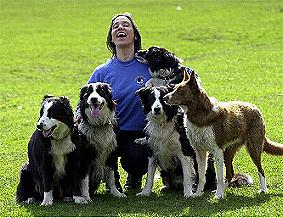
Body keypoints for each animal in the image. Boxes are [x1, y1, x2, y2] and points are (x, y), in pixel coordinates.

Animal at [164, 70, 283, 199]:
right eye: (174, 88)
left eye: (181, 91)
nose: (164, 98)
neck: (200, 115)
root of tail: (255, 108)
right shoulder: (200, 152)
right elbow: (201, 176)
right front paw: (198, 193)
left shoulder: (217, 151)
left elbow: (220, 177)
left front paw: (219, 196)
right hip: (228, 151)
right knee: (230, 173)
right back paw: (219, 190)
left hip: (253, 148)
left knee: (261, 170)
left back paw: (263, 189)